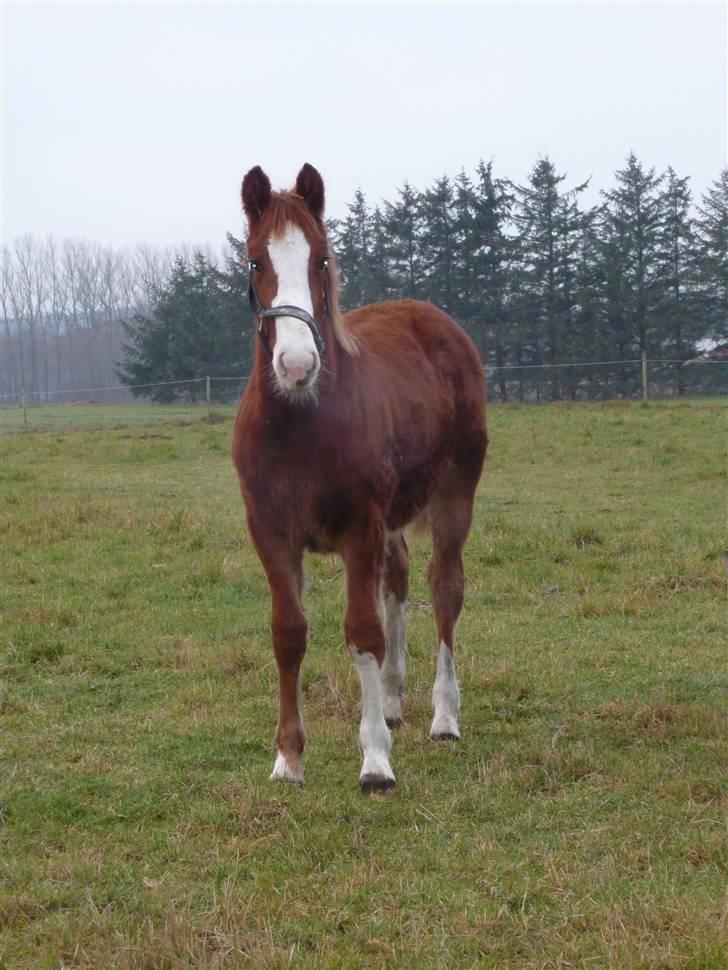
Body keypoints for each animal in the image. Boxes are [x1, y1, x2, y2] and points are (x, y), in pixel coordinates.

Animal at [230, 163, 486, 792]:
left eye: (321, 258)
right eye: (256, 262)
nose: (296, 365)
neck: (301, 424)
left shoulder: (358, 529)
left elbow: (362, 631)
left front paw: (375, 761)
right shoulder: (270, 533)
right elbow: (288, 633)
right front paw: (289, 758)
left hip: (454, 495)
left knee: (445, 587)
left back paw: (444, 716)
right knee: (398, 580)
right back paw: (392, 700)